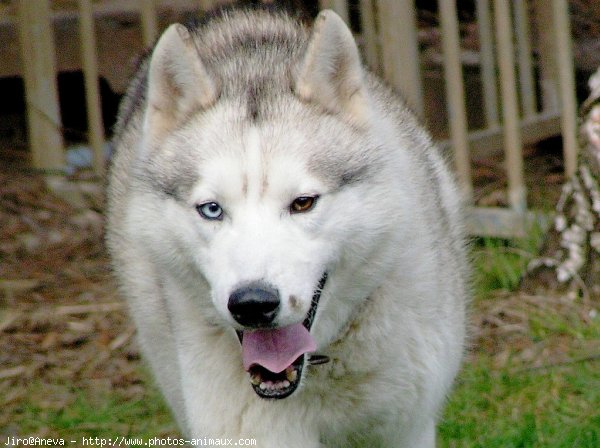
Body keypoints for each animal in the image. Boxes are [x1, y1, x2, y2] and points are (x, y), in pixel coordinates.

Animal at [106, 7, 468, 448]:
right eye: (212, 209)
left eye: (303, 203)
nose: (252, 303)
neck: (319, 364)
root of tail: (236, 16)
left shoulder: (407, 428)